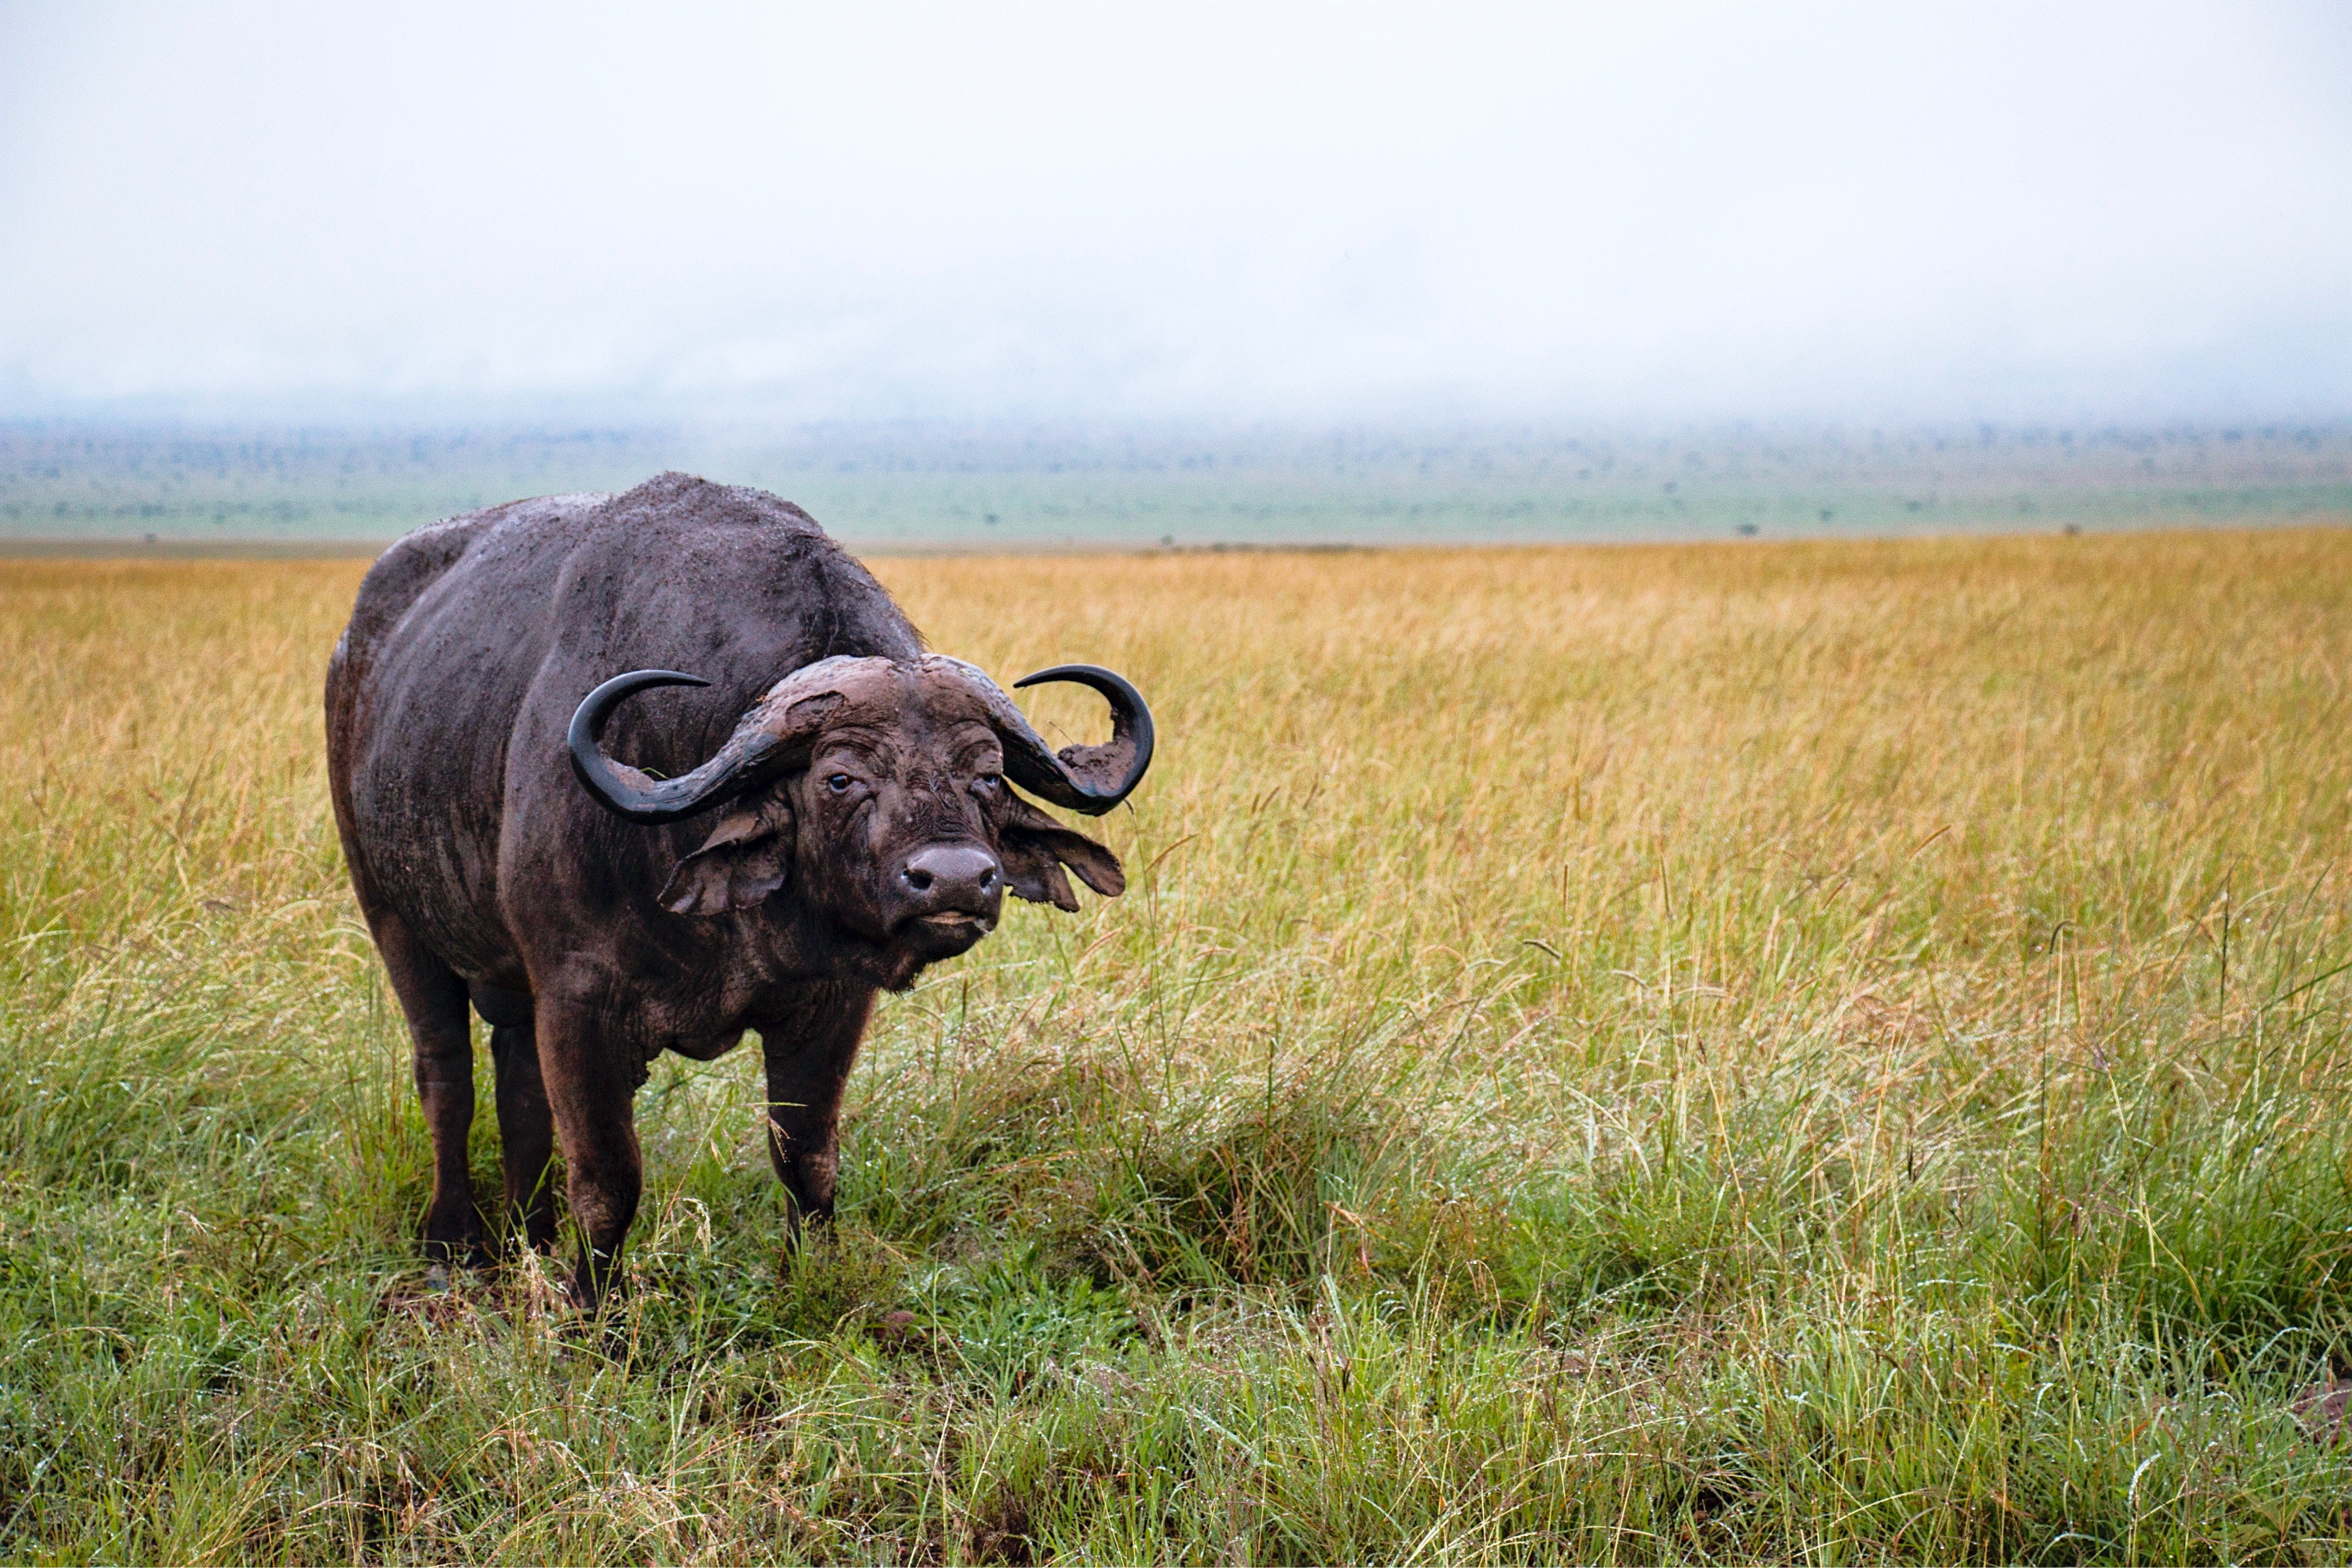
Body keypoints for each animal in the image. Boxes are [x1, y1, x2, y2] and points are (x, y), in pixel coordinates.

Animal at [325, 472, 1152, 1306]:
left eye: (985, 774)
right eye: (839, 778)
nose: (954, 878)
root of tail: (357, 646)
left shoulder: (831, 1002)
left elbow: (807, 1158)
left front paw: (808, 1279)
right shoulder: (577, 1001)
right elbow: (609, 1178)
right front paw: (588, 1309)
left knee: (517, 1083)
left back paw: (531, 1237)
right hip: (392, 916)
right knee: (446, 1076)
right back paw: (452, 1242)